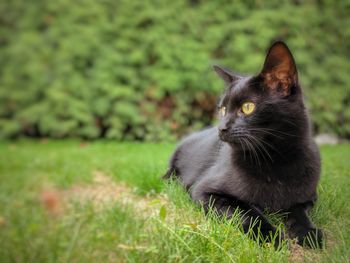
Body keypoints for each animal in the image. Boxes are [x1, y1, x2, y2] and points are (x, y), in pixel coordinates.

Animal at [163, 41, 322, 250]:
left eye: (247, 107)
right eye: (223, 109)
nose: (221, 127)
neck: (275, 160)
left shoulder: (307, 198)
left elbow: (298, 212)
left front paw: (309, 233)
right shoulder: (204, 191)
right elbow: (248, 212)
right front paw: (272, 238)